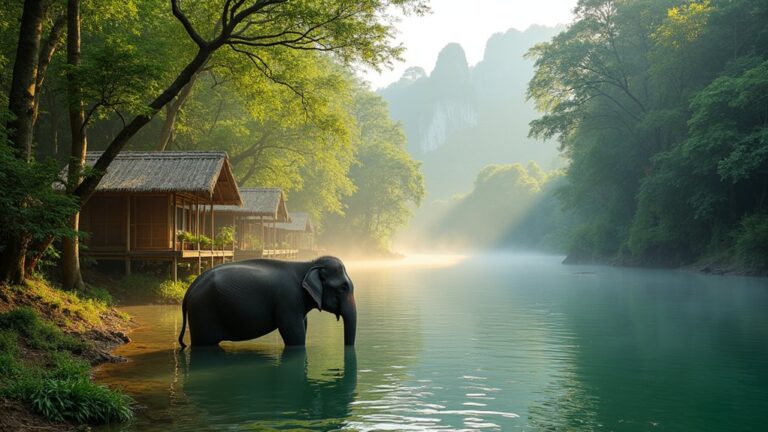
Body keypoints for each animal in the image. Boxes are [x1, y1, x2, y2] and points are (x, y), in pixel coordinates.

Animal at [178, 256, 356, 348]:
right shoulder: (288, 301)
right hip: (204, 312)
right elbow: (294, 335)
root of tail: (188, 292)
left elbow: (303, 327)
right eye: (343, 287)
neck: (308, 264)